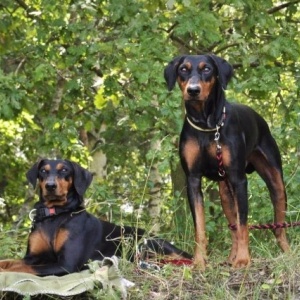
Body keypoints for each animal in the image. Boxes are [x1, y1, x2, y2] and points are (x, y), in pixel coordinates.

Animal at [0, 159, 192, 276]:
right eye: (43, 171)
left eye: (64, 170)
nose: (50, 186)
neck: (55, 215)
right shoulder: (32, 256)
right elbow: (9, 262)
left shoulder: (66, 264)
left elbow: (21, 268)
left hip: (148, 244)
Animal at [163, 54, 290, 270]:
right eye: (183, 69)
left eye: (207, 69)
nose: (193, 90)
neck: (207, 125)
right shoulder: (193, 180)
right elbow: (200, 227)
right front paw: (199, 261)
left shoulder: (239, 179)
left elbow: (244, 224)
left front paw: (243, 259)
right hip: (225, 192)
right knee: (233, 228)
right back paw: (231, 258)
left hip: (274, 180)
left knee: (278, 226)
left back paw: (285, 252)